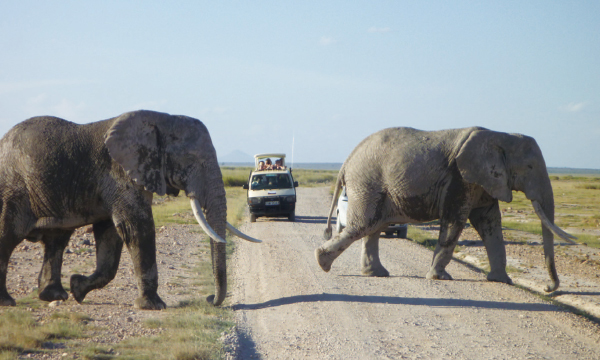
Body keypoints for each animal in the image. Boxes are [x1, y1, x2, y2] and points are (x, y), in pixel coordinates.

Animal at [0, 109, 262, 310]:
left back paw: (55, 296)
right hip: (13, 189)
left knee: (57, 239)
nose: (209, 299)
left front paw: (77, 288)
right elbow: (137, 227)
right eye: (190, 159)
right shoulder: (119, 172)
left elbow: (110, 235)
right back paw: (7, 302)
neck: (161, 119)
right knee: (8, 236)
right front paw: (154, 306)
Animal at [318, 125, 576, 292]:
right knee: (363, 225)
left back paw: (376, 274)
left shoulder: (481, 181)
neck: (501, 136)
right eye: (530, 167)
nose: (548, 288)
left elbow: (490, 224)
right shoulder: (460, 178)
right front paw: (440, 278)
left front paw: (502, 281)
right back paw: (322, 262)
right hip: (368, 182)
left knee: (373, 227)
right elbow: (455, 221)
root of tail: (345, 162)